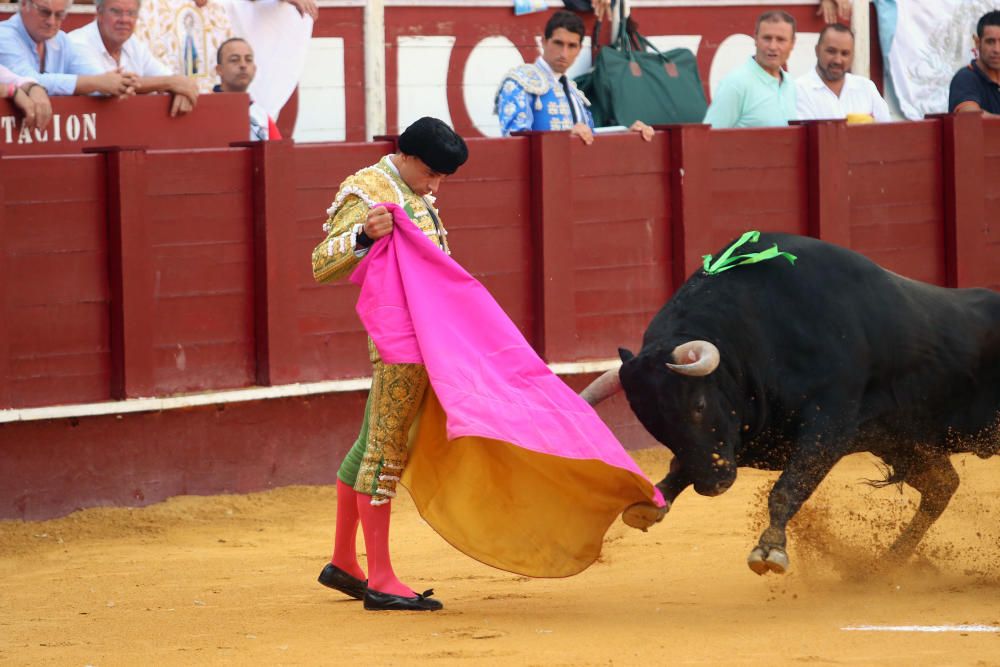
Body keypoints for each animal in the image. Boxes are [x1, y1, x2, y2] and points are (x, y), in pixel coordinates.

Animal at [584, 234, 1000, 576]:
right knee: (942, 486)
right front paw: (650, 504)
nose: (713, 485)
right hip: (906, 444)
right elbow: (683, 465)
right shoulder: (740, 440)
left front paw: (769, 551)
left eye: (698, 405)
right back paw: (886, 565)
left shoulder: (829, 426)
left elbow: (789, 487)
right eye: (653, 425)